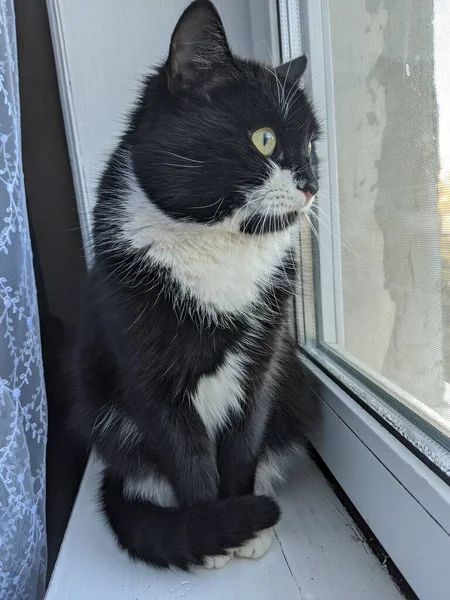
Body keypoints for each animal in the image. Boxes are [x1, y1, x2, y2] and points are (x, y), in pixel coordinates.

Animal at [71, 0, 320, 572]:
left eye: (311, 145)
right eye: (264, 138)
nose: (312, 182)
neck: (217, 244)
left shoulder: (264, 358)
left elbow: (245, 437)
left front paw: (242, 524)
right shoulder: (145, 373)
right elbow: (185, 455)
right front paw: (210, 533)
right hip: (99, 400)